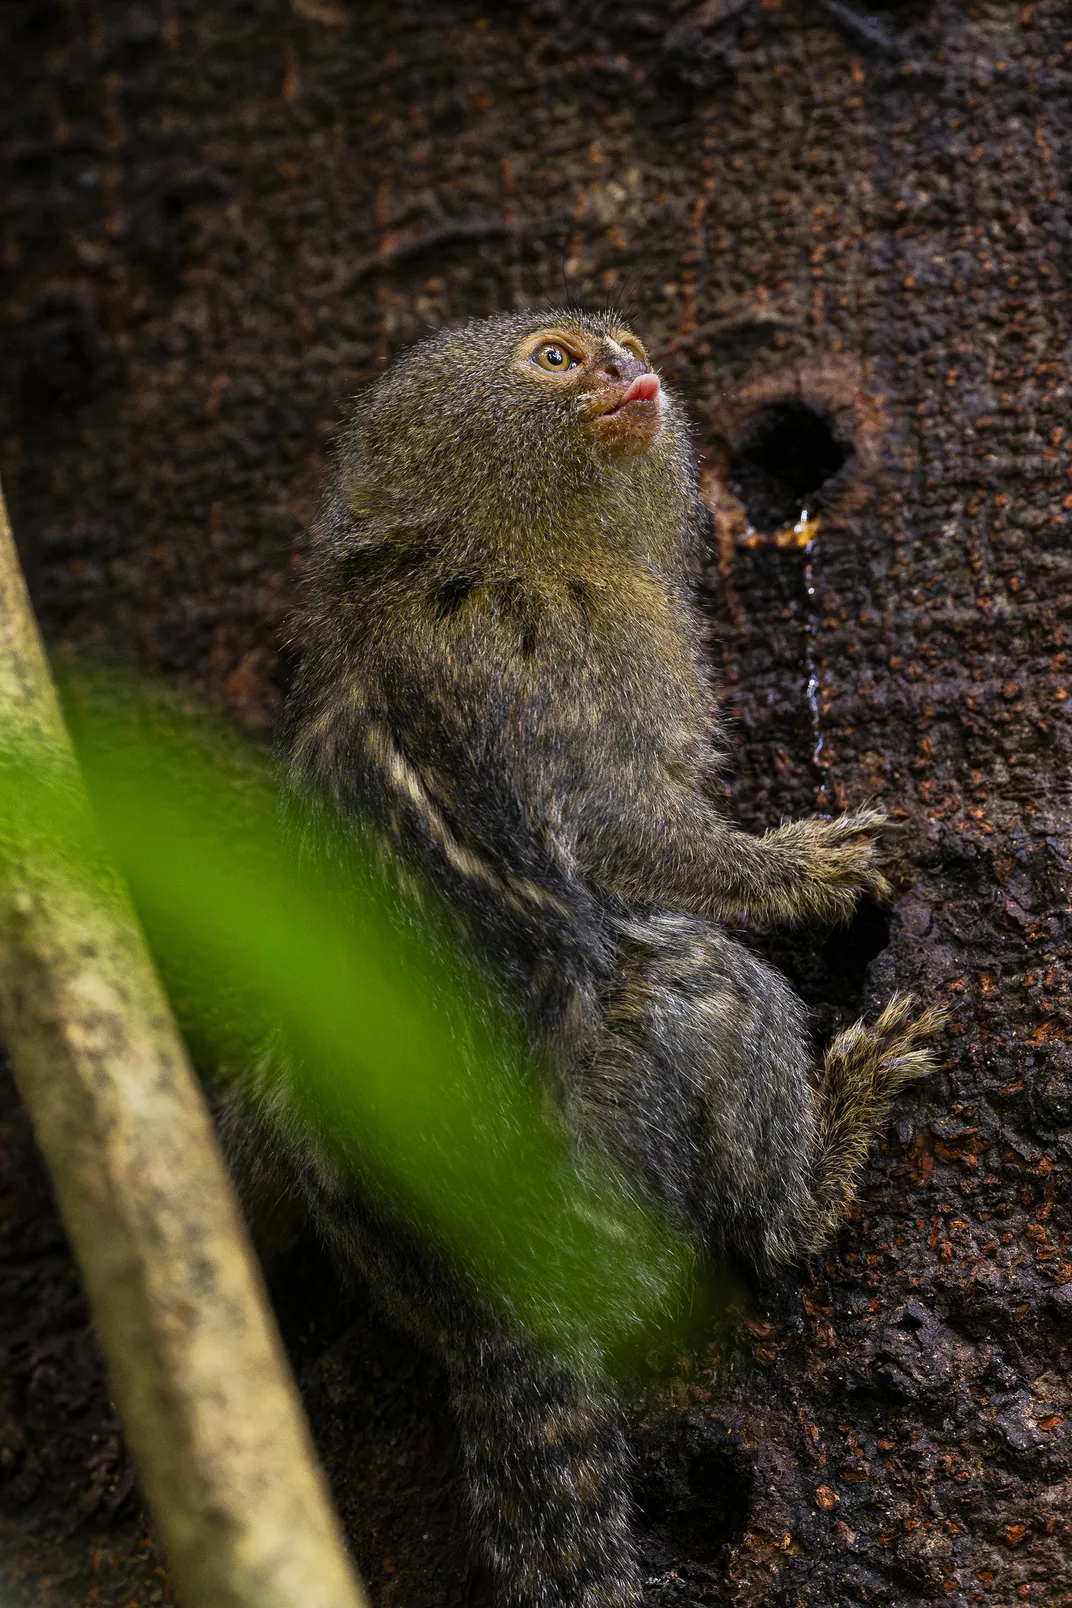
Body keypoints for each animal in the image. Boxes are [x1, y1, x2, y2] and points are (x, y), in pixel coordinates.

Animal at [219, 308, 941, 1608]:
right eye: (555, 360)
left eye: (622, 344)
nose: (626, 370)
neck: (502, 545)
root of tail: (489, 1287)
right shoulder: (556, 671)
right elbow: (617, 832)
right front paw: (799, 872)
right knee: (704, 993)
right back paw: (821, 1167)